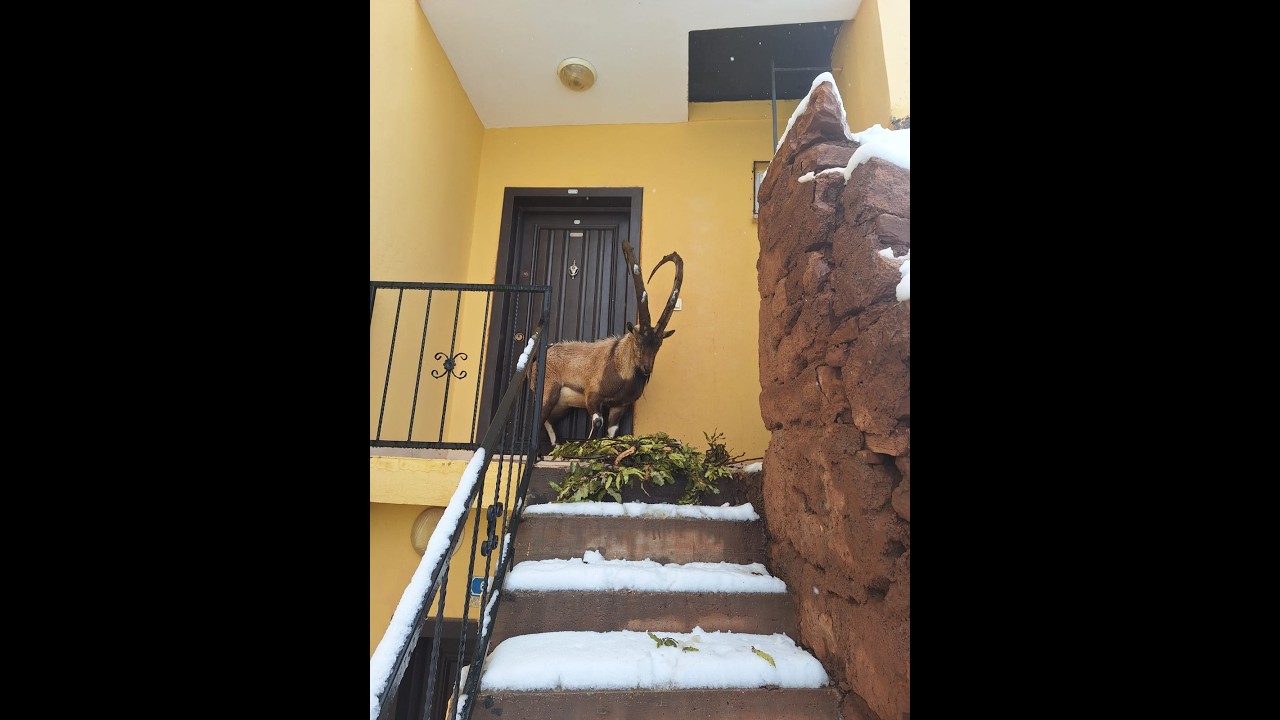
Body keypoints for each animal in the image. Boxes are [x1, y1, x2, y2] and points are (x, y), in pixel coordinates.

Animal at [532, 240, 683, 447]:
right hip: (548, 394)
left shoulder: (620, 406)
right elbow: (597, 422)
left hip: (563, 405)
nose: (647, 368)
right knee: (537, 421)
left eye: (658, 344)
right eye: (638, 340)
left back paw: (556, 445)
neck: (619, 364)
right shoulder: (592, 396)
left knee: (549, 421)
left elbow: (612, 432)